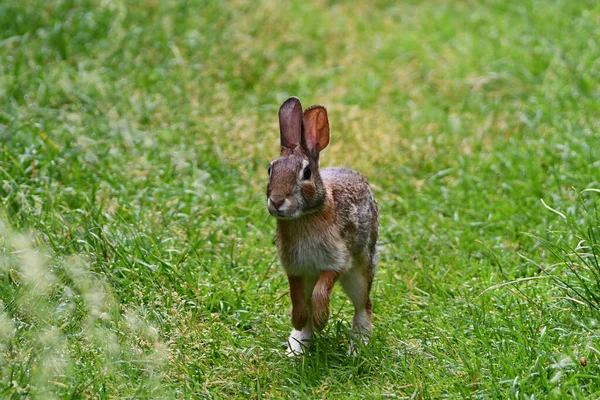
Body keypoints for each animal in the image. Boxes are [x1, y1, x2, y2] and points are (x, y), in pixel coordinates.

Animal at [268, 97, 380, 356]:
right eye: (270, 170)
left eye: (307, 172)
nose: (276, 201)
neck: (305, 215)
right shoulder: (295, 269)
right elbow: (297, 296)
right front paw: (299, 320)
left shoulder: (337, 259)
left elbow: (323, 288)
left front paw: (322, 319)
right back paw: (296, 347)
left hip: (360, 271)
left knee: (364, 306)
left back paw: (357, 347)